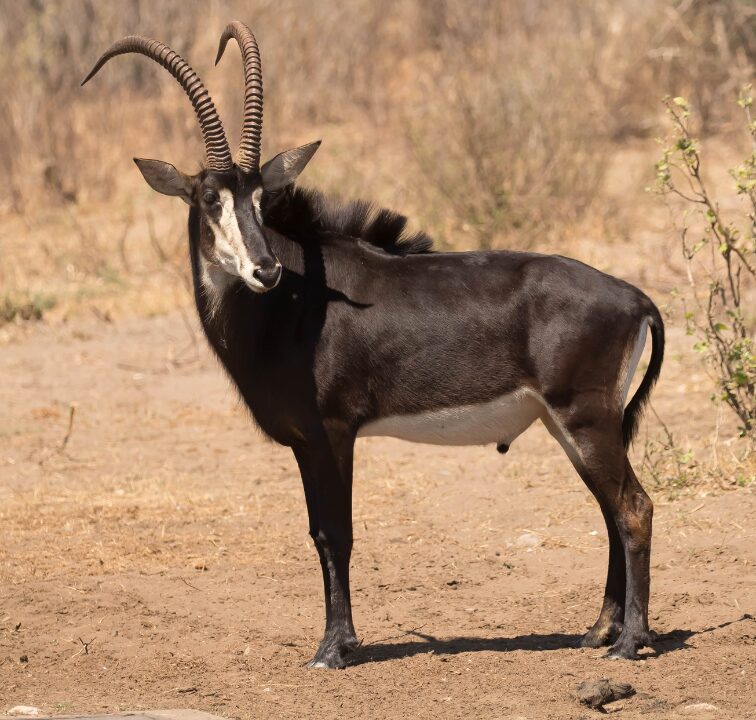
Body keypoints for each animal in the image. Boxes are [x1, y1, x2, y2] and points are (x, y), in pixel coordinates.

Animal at [82, 21, 664, 669]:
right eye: (211, 198)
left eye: (261, 198)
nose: (264, 269)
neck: (292, 303)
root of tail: (634, 297)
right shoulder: (304, 441)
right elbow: (318, 531)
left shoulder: (333, 432)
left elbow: (336, 532)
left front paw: (334, 648)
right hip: (572, 426)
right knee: (611, 510)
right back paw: (599, 631)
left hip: (584, 419)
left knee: (632, 509)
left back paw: (630, 642)